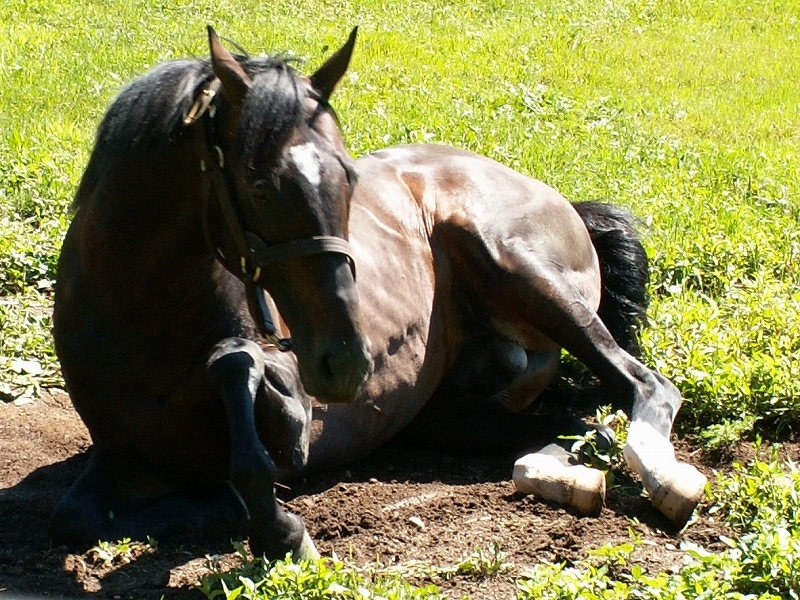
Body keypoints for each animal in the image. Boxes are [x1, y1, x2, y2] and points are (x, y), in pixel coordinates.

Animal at [51, 27, 708, 564]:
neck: (145, 319)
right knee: (568, 429)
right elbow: (78, 518)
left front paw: (279, 529)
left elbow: (238, 380)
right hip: (454, 413)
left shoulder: (292, 404)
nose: (346, 363)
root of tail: (563, 202)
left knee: (643, 387)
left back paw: (666, 480)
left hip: (515, 264)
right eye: (258, 186)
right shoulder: (118, 458)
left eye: (348, 176)